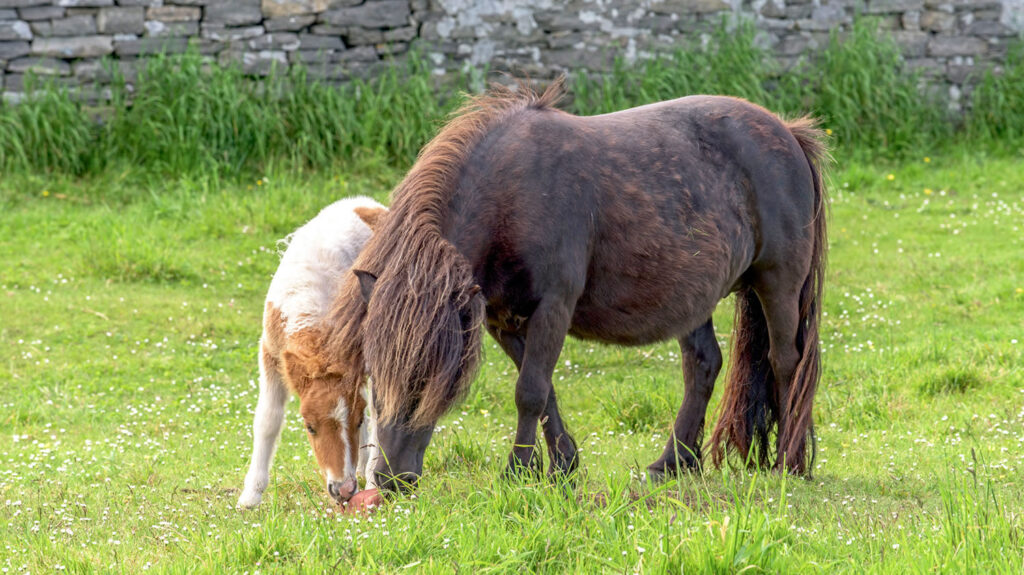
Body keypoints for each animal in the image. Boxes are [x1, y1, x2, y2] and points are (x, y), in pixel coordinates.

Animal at [237, 197, 387, 509]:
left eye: (355, 422)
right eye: (309, 427)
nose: (343, 490)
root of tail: (366, 204)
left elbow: (378, 416)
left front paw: (372, 482)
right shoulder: (271, 354)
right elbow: (267, 420)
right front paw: (251, 496)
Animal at [325, 79, 828, 492]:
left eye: (428, 377)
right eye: (374, 377)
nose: (390, 480)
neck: (512, 197)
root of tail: (787, 132)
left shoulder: (553, 308)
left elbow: (529, 392)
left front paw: (517, 472)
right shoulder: (501, 320)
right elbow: (544, 390)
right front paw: (562, 465)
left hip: (778, 285)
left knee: (786, 361)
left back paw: (787, 463)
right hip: (693, 299)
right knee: (703, 366)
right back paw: (671, 464)